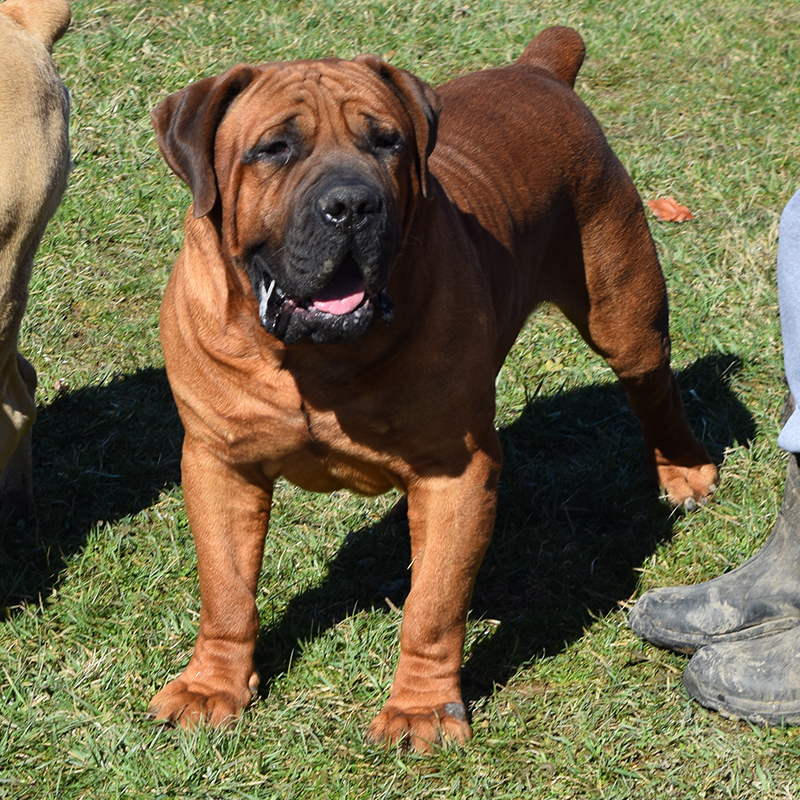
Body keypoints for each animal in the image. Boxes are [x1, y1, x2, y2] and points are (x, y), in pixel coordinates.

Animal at [152, 26, 720, 752]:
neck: (312, 360)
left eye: (386, 142)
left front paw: (420, 708)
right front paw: (212, 686)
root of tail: (539, 70)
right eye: (275, 149)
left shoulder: (457, 472)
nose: (353, 204)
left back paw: (685, 472)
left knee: (656, 391)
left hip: (625, 312)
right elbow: (226, 590)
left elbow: (434, 605)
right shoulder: (220, 463)